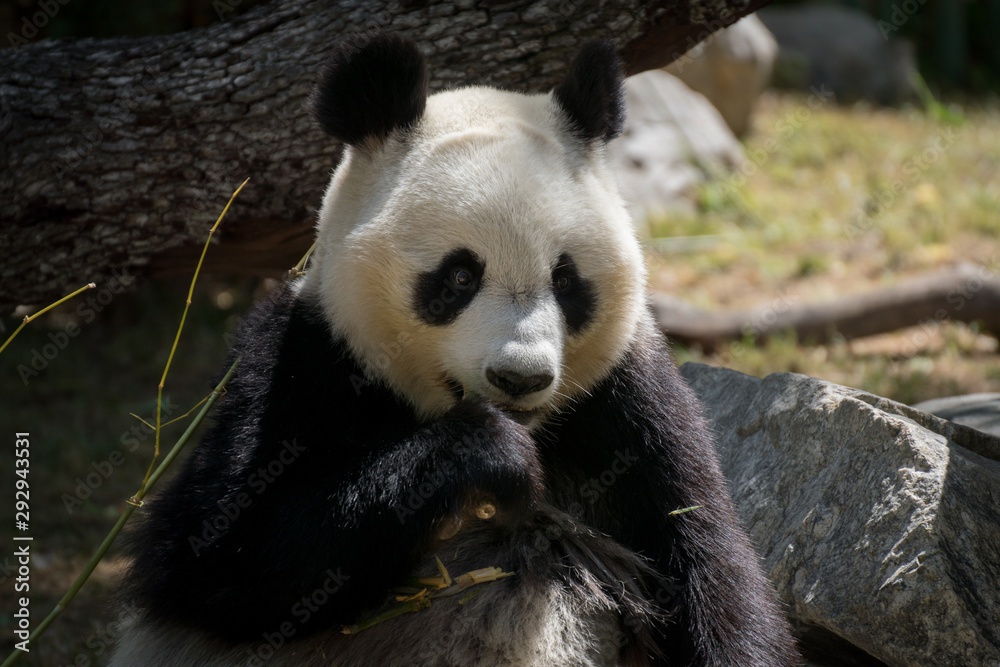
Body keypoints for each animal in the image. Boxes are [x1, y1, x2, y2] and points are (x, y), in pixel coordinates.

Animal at [112, 33, 800, 667]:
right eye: (460, 276)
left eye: (566, 279)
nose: (520, 378)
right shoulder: (301, 362)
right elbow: (218, 554)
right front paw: (491, 454)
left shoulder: (628, 401)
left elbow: (706, 556)